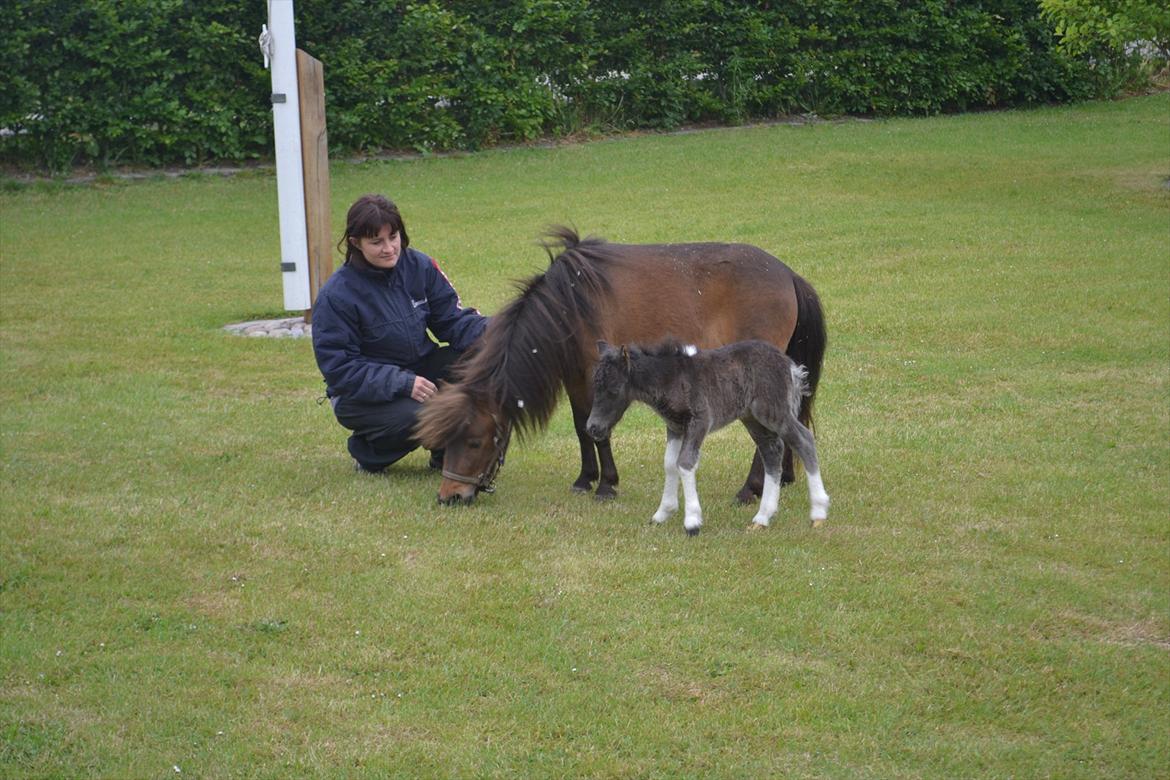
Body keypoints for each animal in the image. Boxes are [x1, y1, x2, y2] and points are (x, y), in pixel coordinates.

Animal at [416, 225, 828, 507]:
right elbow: (583, 428)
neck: (569, 304)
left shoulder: (596, 375)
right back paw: (783, 476)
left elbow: (596, 429)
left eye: (474, 441)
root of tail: (788, 274)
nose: (449, 495)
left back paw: (751, 489)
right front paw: (585, 479)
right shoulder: (574, 378)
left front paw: (606, 484)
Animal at [585, 339, 833, 533]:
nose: (592, 428)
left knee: (804, 440)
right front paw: (662, 513)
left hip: (774, 412)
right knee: (772, 451)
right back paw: (762, 518)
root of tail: (789, 365)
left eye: (614, 390)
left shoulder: (700, 421)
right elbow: (669, 464)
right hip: (752, 418)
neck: (672, 378)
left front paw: (692, 521)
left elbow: (685, 463)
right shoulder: (675, 427)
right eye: (595, 386)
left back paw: (818, 512)